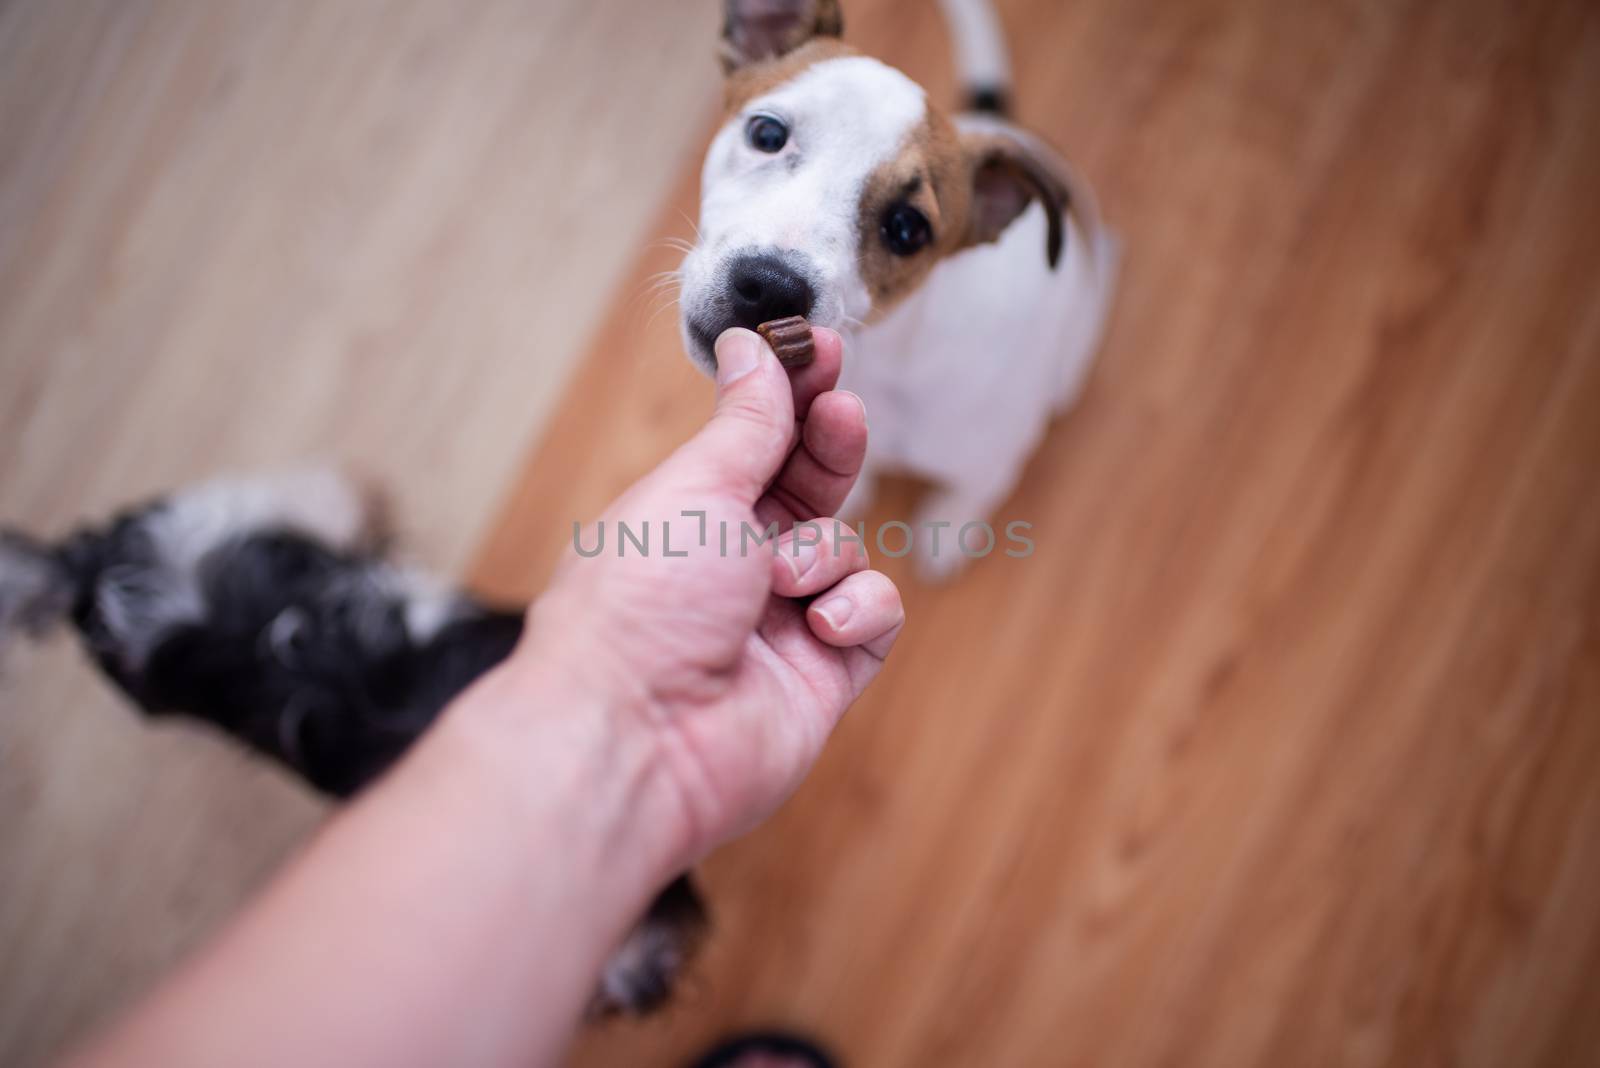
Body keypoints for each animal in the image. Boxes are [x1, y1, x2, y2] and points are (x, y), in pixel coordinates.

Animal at [681, 0, 1120, 575]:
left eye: (907, 229)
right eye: (768, 134)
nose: (771, 286)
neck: (882, 356)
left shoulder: (993, 459)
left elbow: (972, 493)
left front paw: (949, 531)